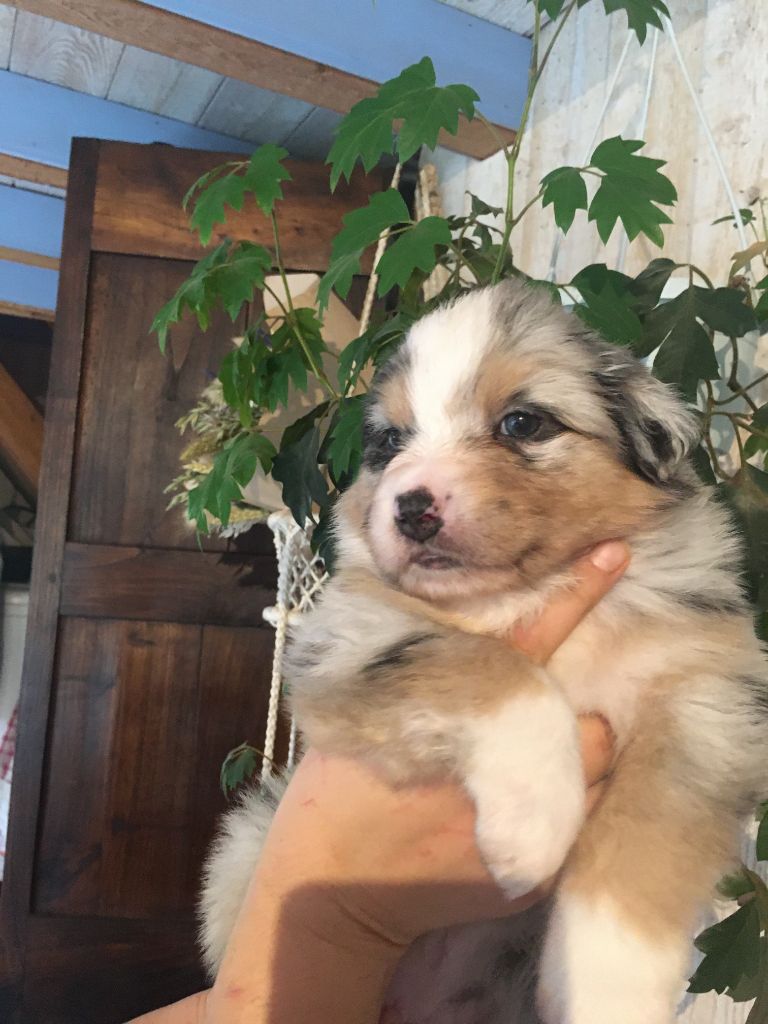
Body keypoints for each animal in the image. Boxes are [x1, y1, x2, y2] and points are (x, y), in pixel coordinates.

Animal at [200, 279, 767, 1023]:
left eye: (523, 424)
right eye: (390, 441)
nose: (412, 508)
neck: (529, 590)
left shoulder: (703, 694)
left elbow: (644, 842)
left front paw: (608, 986)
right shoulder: (349, 641)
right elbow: (493, 668)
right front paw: (533, 827)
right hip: (246, 843)